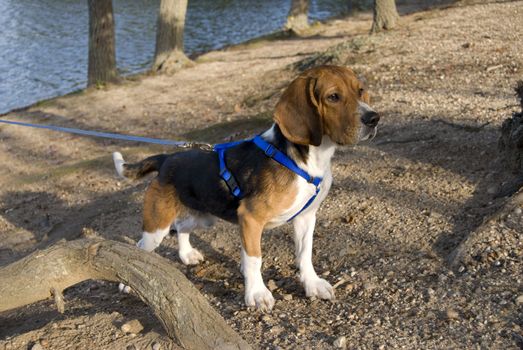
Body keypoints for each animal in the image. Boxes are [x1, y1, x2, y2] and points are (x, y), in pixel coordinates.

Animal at [112, 64, 378, 310]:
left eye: (360, 90)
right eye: (333, 97)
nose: (374, 118)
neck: (306, 159)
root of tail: (167, 158)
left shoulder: (306, 216)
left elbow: (305, 254)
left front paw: (312, 284)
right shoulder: (250, 218)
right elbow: (254, 259)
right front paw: (257, 294)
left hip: (201, 217)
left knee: (181, 229)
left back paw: (187, 255)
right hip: (157, 226)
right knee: (140, 247)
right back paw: (128, 281)